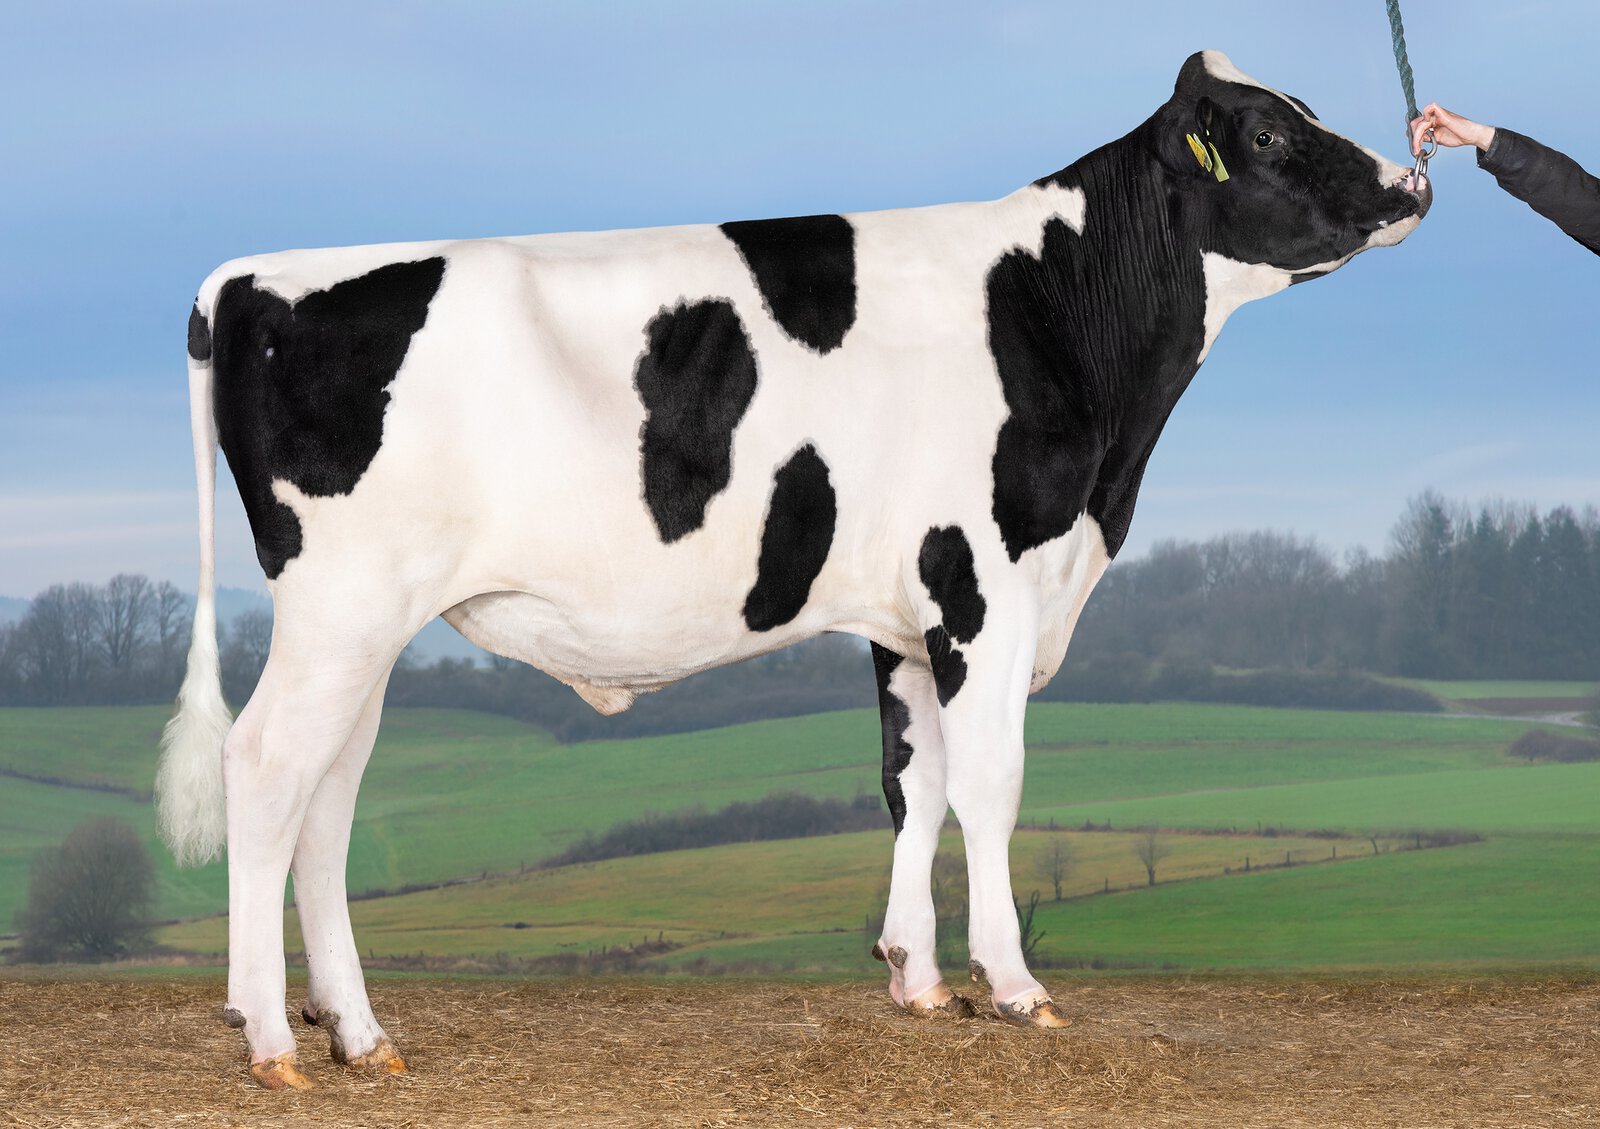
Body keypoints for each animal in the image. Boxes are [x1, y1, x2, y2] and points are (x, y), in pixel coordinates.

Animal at [157, 51, 1429, 1089]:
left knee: (327, 796)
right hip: (342, 605)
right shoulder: (984, 585)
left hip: (366, 624)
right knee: (264, 768)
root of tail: (247, 276)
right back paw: (270, 1039)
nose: (1410, 183)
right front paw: (1015, 987)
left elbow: (912, 780)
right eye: (1268, 134)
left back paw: (358, 1033)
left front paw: (917, 977)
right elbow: (991, 783)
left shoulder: (905, 614)